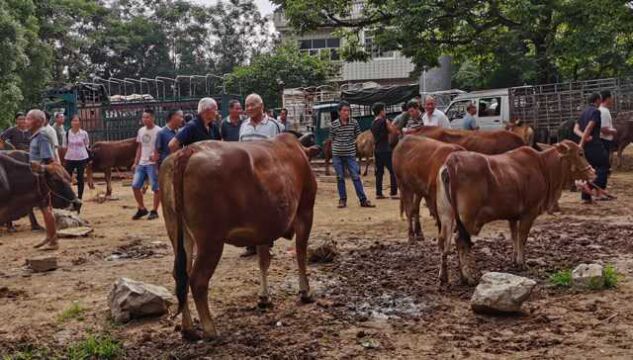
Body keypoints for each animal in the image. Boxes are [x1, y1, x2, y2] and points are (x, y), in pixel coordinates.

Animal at [158, 134, 316, 340]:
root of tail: (188, 151)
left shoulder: (263, 228)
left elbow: (263, 261)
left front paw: (264, 298)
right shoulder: (305, 212)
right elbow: (301, 254)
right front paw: (305, 292)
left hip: (178, 232)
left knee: (181, 274)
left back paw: (188, 329)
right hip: (210, 239)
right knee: (197, 280)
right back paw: (210, 329)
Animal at [436, 141, 596, 284]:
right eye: (580, 153)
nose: (593, 173)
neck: (543, 167)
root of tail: (452, 160)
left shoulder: (512, 216)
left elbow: (514, 236)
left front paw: (514, 260)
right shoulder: (529, 213)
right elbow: (522, 237)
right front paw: (521, 263)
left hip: (447, 215)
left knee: (444, 241)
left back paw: (444, 277)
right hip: (467, 218)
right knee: (460, 241)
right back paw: (467, 277)